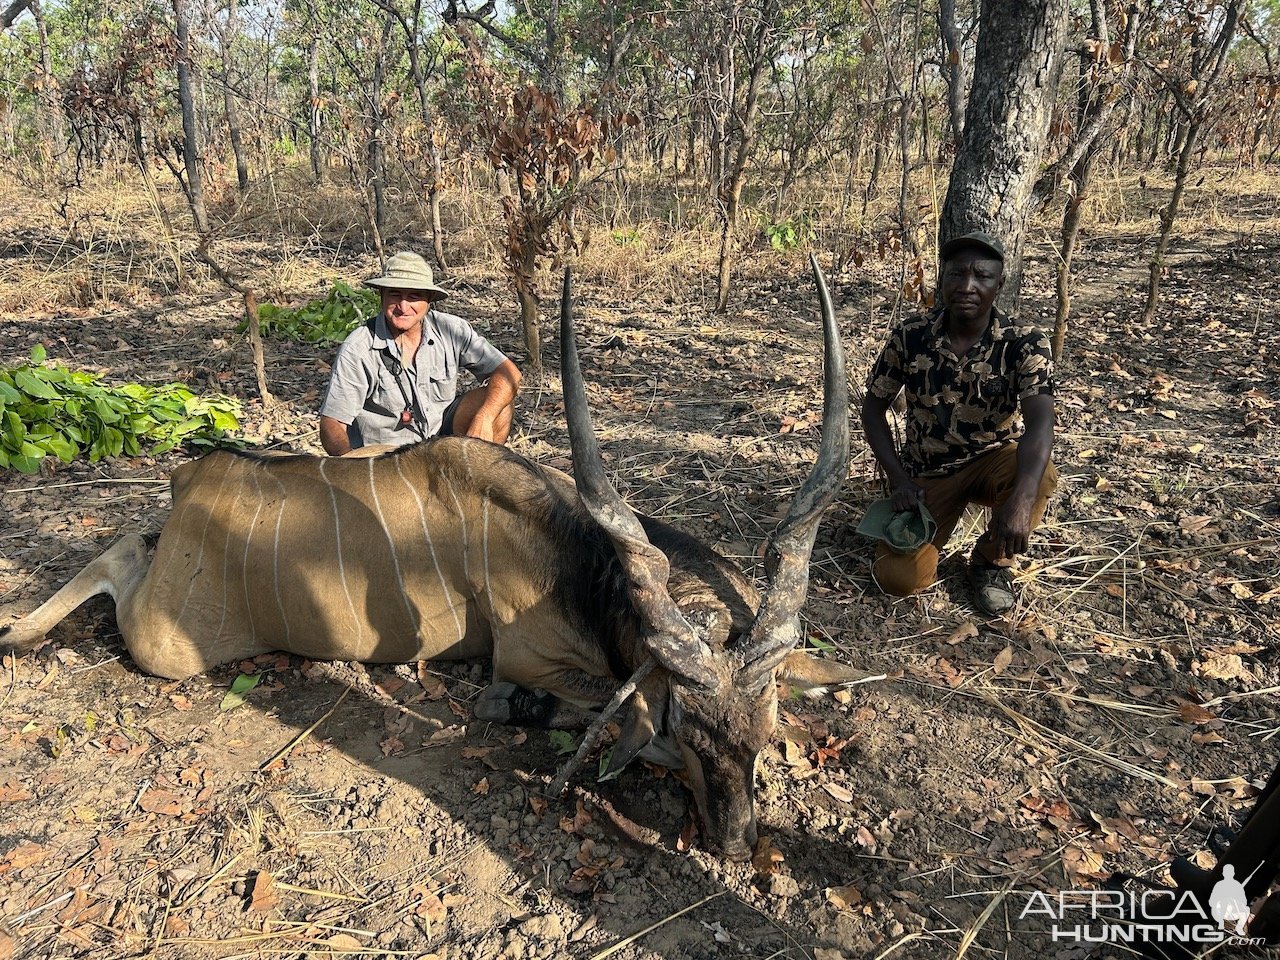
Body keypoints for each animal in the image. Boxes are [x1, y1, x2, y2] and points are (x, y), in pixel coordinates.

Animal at [5, 259, 865, 860]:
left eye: (764, 732)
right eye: (688, 728)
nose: (735, 841)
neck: (578, 559)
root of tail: (192, 479)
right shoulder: (527, 655)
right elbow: (575, 707)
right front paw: (523, 713)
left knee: (130, 541)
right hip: (169, 646)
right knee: (122, 557)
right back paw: (20, 633)